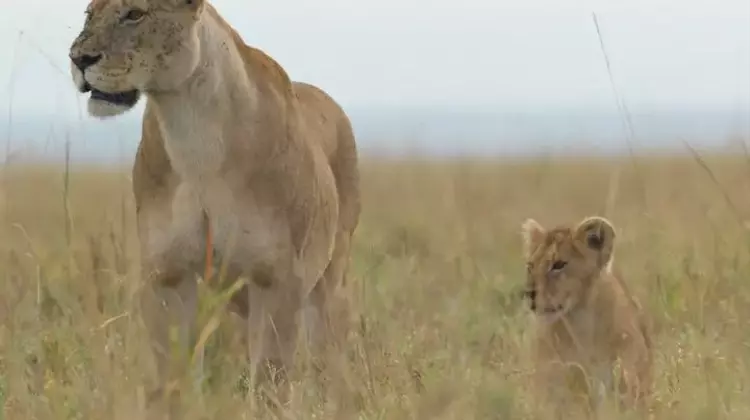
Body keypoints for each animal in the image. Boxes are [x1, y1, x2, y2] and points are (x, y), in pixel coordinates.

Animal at [68, 0, 360, 410]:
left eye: (135, 14)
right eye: (88, 13)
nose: (79, 58)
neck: (193, 134)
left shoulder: (277, 278)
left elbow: (270, 380)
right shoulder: (168, 274)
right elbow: (174, 375)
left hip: (330, 281)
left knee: (328, 355)